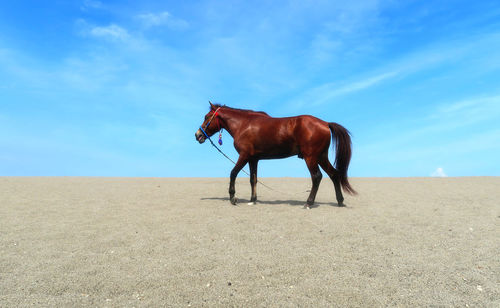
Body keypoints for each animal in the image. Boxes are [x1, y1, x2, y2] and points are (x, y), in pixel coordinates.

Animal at [195, 102, 356, 208]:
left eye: (206, 117)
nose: (197, 135)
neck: (243, 125)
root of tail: (325, 123)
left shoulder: (244, 156)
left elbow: (233, 173)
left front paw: (233, 197)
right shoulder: (253, 159)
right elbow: (253, 179)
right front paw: (253, 199)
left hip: (311, 157)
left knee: (317, 177)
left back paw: (308, 203)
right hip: (321, 156)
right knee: (334, 175)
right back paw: (340, 201)